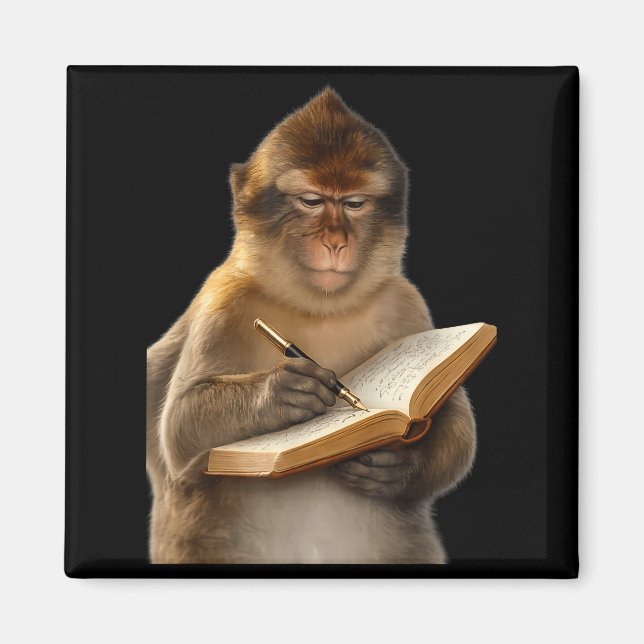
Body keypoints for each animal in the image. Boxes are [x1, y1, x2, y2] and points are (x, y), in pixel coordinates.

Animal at [146, 87, 477, 564]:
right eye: (312, 201)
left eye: (354, 203)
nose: (336, 241)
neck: (319, 308)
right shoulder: (223, 300)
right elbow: (178, 430)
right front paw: (285, 391)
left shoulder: (406, 303)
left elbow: (454, 422)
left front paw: (397, 467)